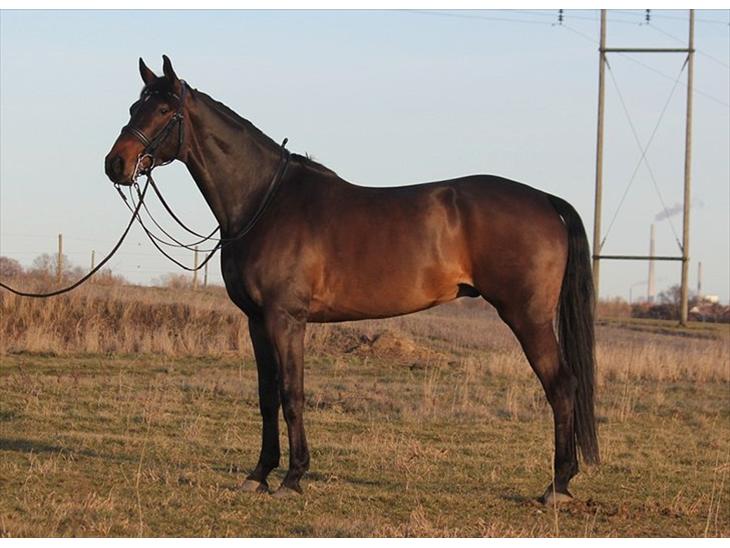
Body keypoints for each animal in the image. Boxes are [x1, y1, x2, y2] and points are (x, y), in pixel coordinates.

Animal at [105, 56, 599, 504]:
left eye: (164, 111)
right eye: (132, 107)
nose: (116, 164)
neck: (264, 201)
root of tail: (543, 199)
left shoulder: (286, 319)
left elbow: (292, 394)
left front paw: (293, 478)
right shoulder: (257, 321)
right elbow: (266, 397)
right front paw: (259, 474)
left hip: (528, 318)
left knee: (561, 386)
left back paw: (557, 486)